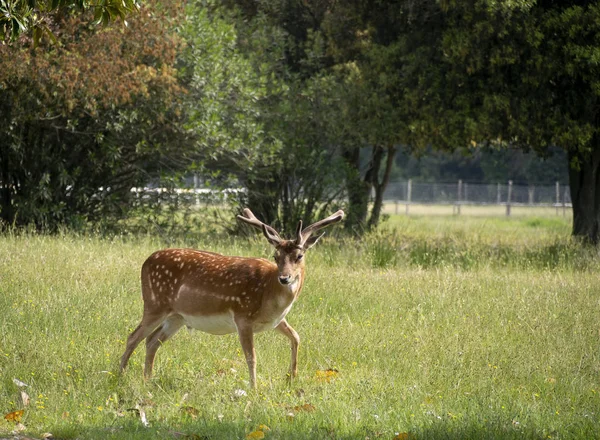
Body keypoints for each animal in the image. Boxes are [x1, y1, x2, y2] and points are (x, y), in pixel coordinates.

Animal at [119, 208, 344, 386]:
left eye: (299, 256)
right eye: (276, 256)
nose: (284, 278)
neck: (270, 294)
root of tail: (146, 261)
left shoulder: (275, 321)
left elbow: (296, 337)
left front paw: (291, 378)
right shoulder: (242, 315)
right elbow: (251, 357)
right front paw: (254, 390)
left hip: (177, 317)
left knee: (152, 340)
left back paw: (147, 379)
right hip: (154, 303)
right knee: (133, 336)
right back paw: (119, 376)